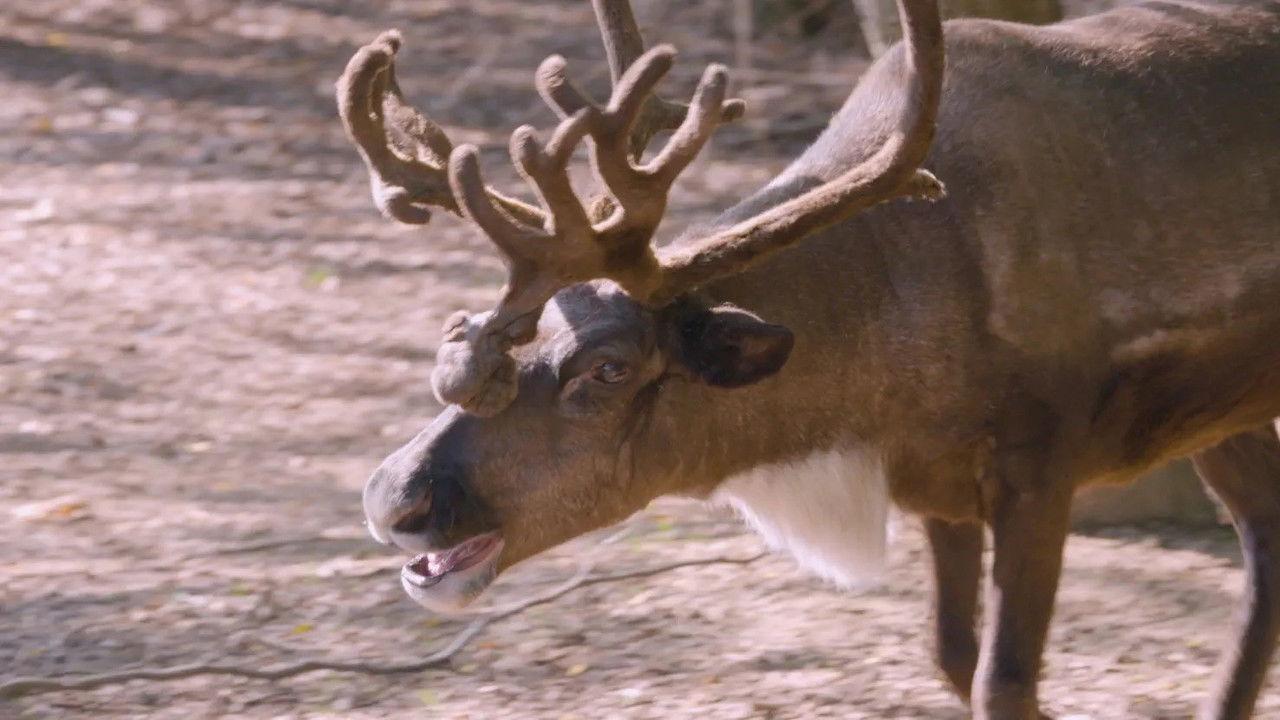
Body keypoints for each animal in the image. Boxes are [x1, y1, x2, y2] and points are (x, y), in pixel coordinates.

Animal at [338, 0, 1280, 717]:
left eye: (608, 369)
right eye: (479, 326)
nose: (393, 498)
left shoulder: (1040, 462)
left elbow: (1001, 680)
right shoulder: (936, 484)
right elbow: (949, 653)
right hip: (1223, 418)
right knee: (1264, 538)